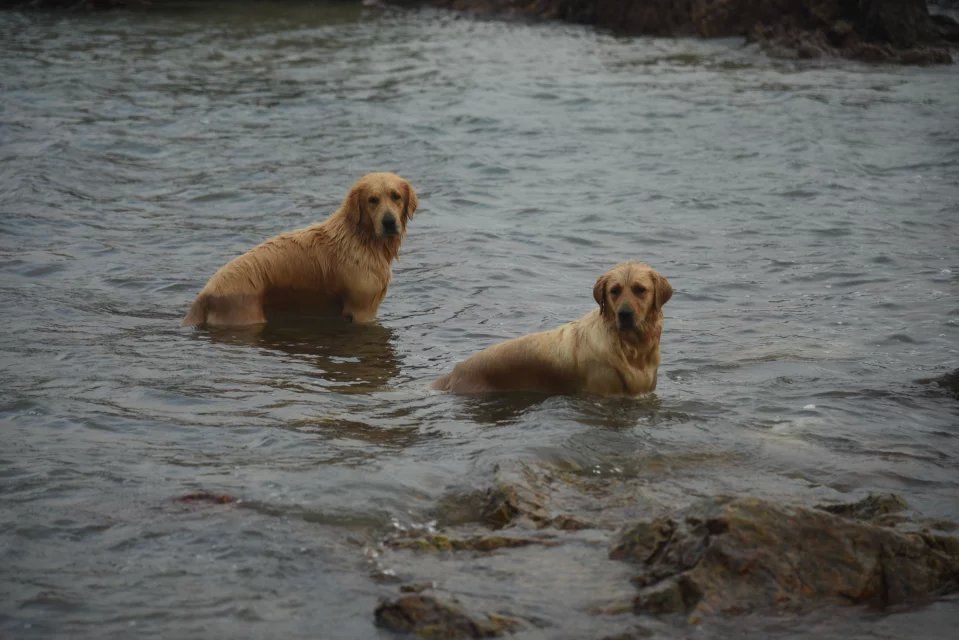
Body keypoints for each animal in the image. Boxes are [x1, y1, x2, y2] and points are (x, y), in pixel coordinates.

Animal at [182, 172, 418, 328]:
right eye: (372, 200)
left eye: (396, 196)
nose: (389, 222)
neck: (360, 237)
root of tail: (205, 293)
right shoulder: (363, 309)